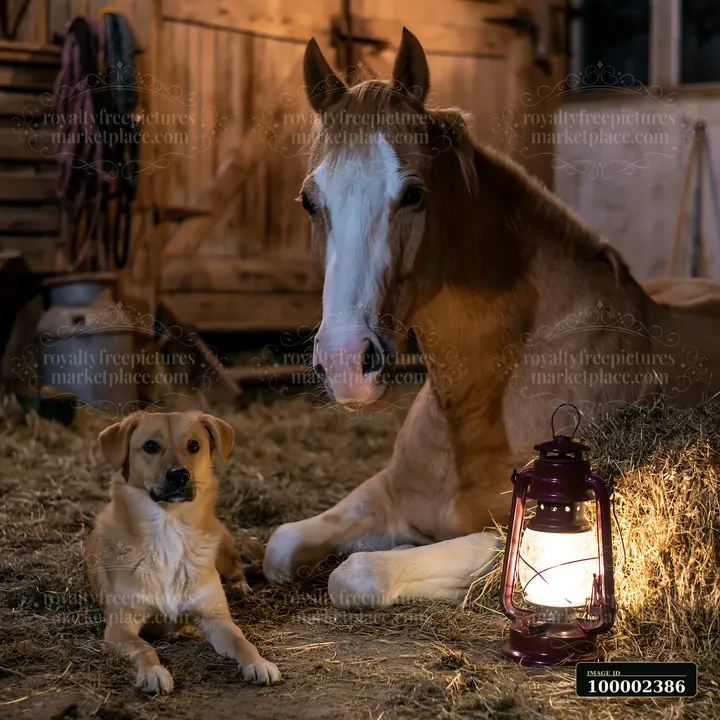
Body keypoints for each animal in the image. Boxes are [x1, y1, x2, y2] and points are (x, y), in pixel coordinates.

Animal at [263, 28, 720, 609]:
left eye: (413, 193)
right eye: (308, 201)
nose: (346, 365)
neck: (478, 400)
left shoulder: (515, 533)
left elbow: (357, 574)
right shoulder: (385, 491)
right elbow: (280, 544)